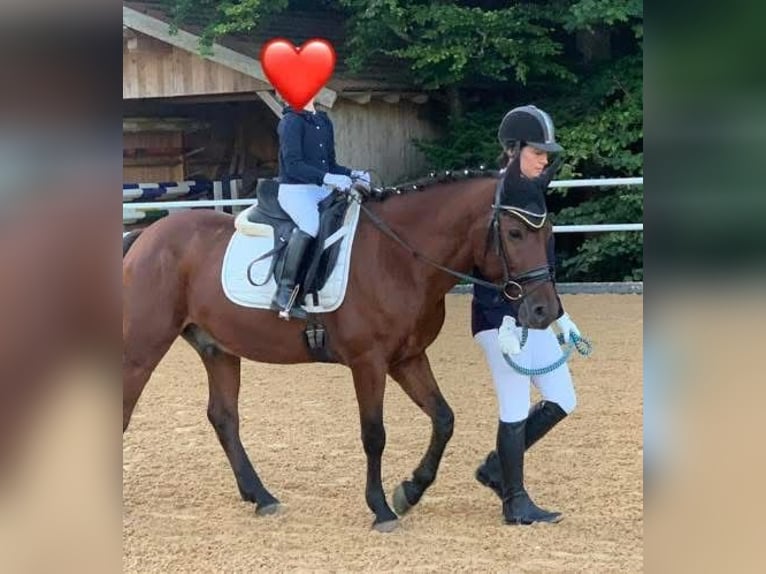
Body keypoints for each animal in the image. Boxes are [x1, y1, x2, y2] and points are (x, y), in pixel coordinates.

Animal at [122, 170, 559, 532]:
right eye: (515, 233)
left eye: (548, 232)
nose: (545, 311)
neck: (399, 257)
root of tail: (146, 236)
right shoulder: (369, 362)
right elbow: (374, 434)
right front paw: (381, 509)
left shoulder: (407, 358)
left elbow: (443, 419)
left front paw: (410, 490)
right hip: (142, 348)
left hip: (218, 349)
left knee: (224, 418)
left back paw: (261, 497)